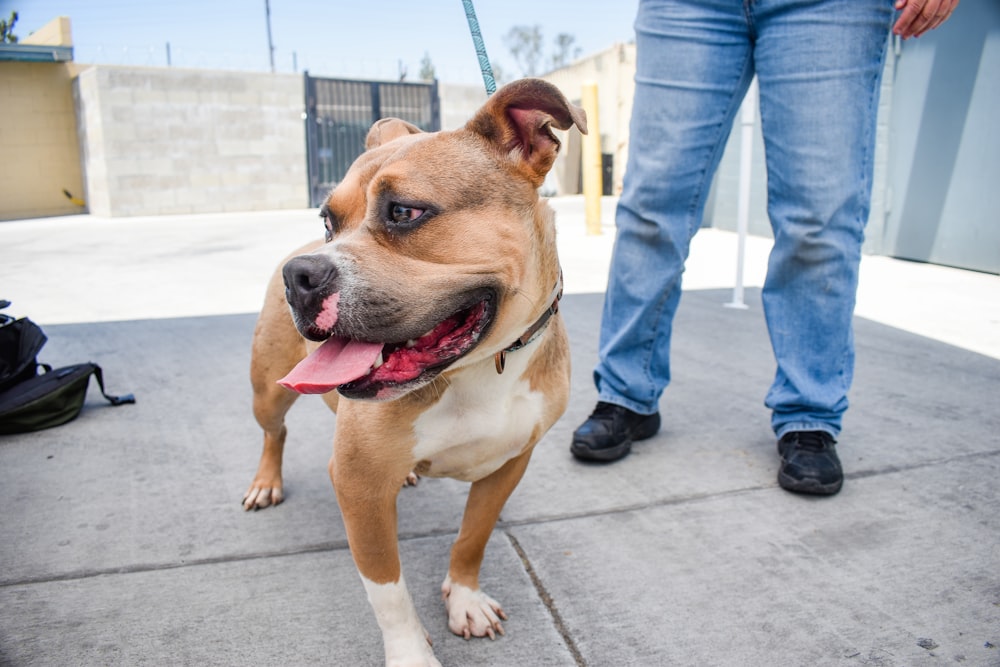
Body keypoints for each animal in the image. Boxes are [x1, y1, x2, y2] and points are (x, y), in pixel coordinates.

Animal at [243, 79, 584, 667]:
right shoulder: (359, 487)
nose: (300, 276)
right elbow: (388, 590)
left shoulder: (508, 464)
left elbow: (473, 537)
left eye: (404, 211)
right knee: (274, 431)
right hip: (267, 389)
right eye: (328, 221)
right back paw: (267, 481)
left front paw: (465, 598)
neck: (481, 366)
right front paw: (411, 653)